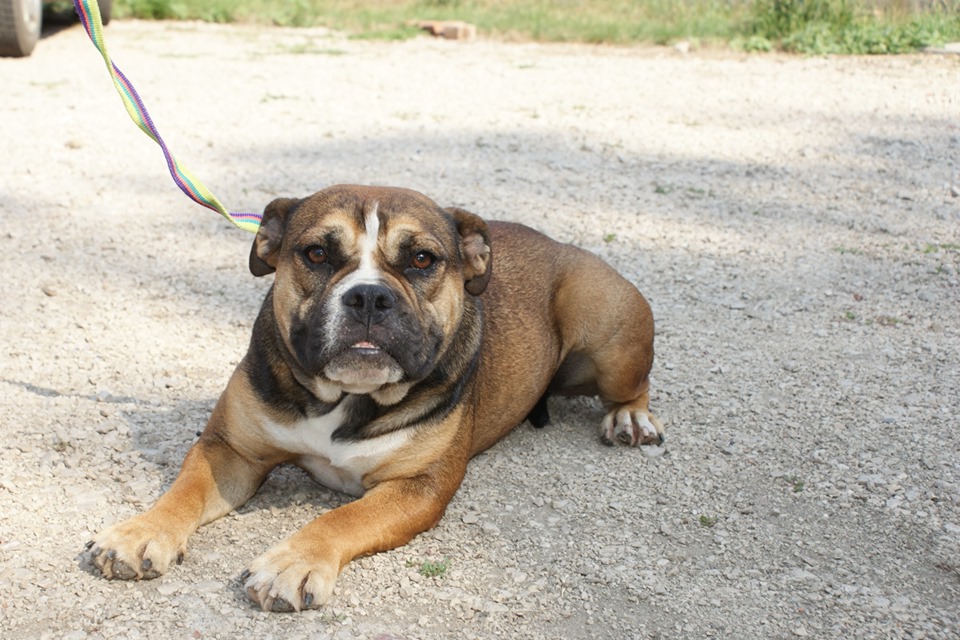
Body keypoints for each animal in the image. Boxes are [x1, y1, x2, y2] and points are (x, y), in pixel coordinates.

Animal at [86, 184, 664, 608]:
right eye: (317, 253)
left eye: (423, 260)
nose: (368, 295)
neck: (342, 396)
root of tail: (561, 246)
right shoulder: (230, 450)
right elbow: (183, 491)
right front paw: (140, 533)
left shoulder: (417, 486)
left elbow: (341, 518)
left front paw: (293, 563)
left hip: (606, 328)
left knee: (633, 385)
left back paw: (632, 420)